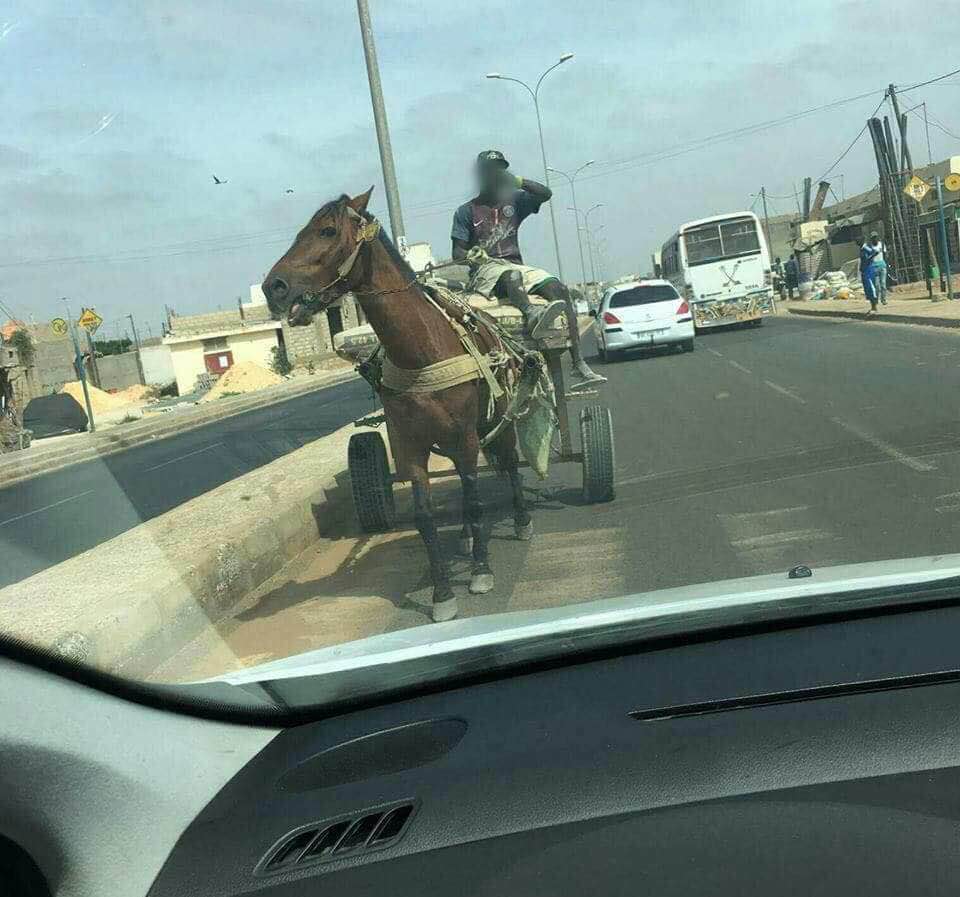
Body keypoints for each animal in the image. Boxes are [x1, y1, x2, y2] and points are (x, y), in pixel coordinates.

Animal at [262, 189, 532, 624]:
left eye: (327, 230)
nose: (274, 286)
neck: (421, 351)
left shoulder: (466, 436)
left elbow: (475, 500)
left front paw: (480, 571)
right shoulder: (410, 445)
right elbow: (424, 516)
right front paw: (442, 593)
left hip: (498, 419)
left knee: (507, 463)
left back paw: (521, 520)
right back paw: (465, 537)